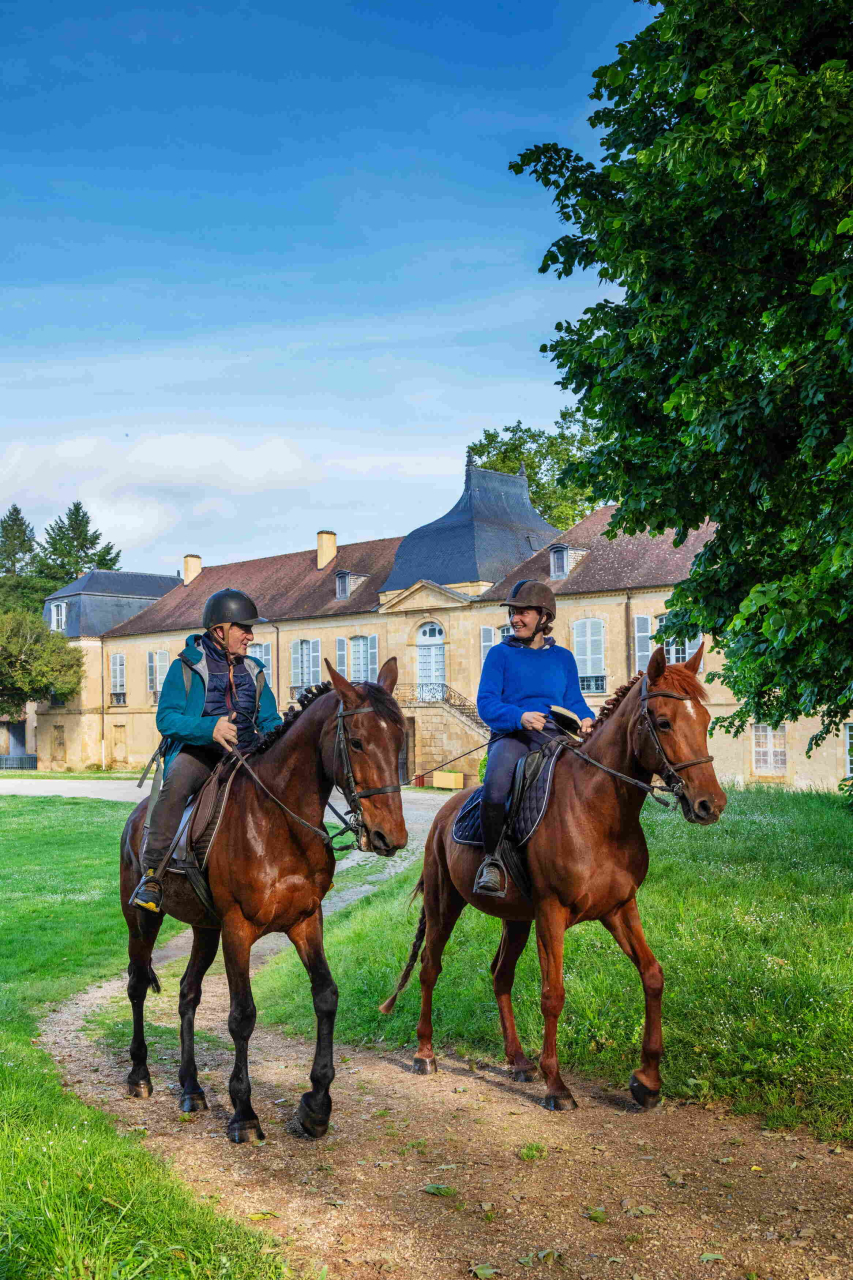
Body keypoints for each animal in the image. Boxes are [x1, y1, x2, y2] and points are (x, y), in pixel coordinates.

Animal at [120, 657, 407, 1143]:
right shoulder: (238, 928)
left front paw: (316, 1105)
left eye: (401, 740)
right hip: (142, 919)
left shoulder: (306, 921)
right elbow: (242, 1016)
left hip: (205, 928)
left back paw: (192, 1087)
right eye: (357, 741)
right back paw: (140, 1075)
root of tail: (137, 817)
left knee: (188, 993)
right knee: (138, 984)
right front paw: (244, 1112)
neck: (279, 822)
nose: (391, 836)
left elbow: (326, 995)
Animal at [380, 644, 726, 1111]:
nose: (711, 804)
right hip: (445, 905)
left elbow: (653, 975)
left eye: (705, 721)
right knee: (430, 968)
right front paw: (557, 1086)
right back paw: (425, 1053)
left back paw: (518, 1061)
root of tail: (445, 810)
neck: (598, 812)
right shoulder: (552, 913)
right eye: (664, 722)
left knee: (500, 975)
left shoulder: (620, 908)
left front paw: (647, 1080)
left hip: (515, 919)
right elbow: (553, 995)